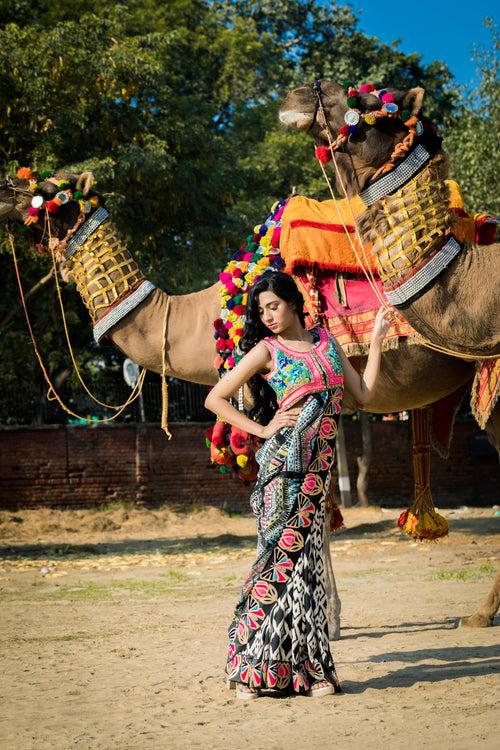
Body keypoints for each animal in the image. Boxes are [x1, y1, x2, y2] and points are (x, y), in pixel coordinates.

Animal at [0, 170, 496, 628]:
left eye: (48, 191)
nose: (5, 186)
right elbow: (319, 504)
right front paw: (330, 616)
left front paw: (324, 620)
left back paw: (478, 615)